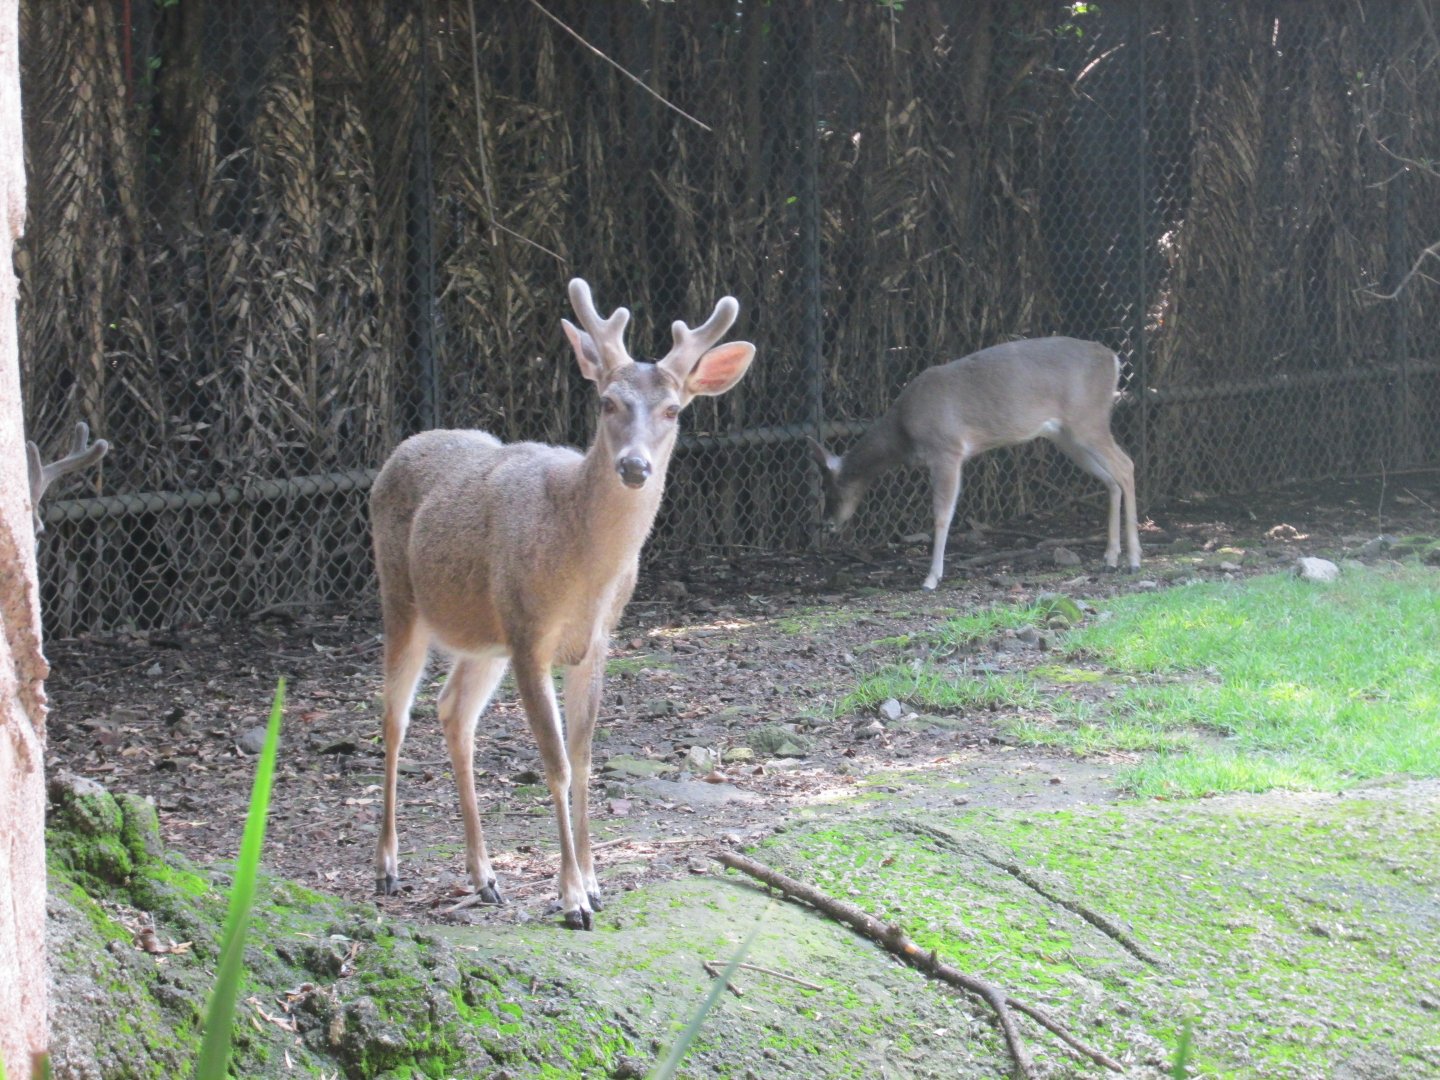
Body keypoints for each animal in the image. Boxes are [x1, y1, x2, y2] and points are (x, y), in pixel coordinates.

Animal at [369, 278, 754, 930]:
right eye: (606, 402)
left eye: (674, 409)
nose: (634, 465)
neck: (583, 576)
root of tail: (399, 451)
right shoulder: (530, 635)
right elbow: (556, 761)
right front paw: (572, 898)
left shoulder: (597, 641)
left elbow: (586, 757)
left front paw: (596, 885)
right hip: (401, 596)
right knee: (394, 715)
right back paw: (388, 867)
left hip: (484, 636)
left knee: (452, 711)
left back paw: (485, 876)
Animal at [809, 337, 1140, 591]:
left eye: (828, 488)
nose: (827, 523)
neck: (902, 433)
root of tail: (1113, 359)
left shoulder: (947, 450)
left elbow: (942, 515)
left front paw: (931, 578)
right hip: (1067, 436)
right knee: (1111, 479)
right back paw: (1110, 558)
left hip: (1087, 420)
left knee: (1126, 465)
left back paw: (1134, 560)